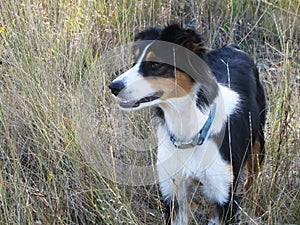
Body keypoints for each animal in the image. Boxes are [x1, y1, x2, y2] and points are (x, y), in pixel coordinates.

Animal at [109, 23, 266, 224]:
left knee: (251, 181)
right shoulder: (174, 193)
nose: (113, 87)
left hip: (258, 146)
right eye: (134, 61)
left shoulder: (224, 196)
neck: (189, 131)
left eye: (154, 64)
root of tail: (234, 47)